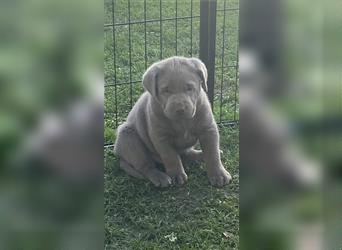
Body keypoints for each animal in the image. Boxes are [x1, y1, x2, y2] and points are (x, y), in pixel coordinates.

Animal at [113, 55, 231, 187]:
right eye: (166, 90)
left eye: (189, 88)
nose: (180, 109)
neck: (182, 122)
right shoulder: (161, 137)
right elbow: (171, 157)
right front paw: (176, 175)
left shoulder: (208, 129)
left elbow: (212, 153)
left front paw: (219, 174)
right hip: (128, 136)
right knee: (146, 166)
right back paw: (160, 177)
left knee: (186, 154)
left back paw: (201, 155)